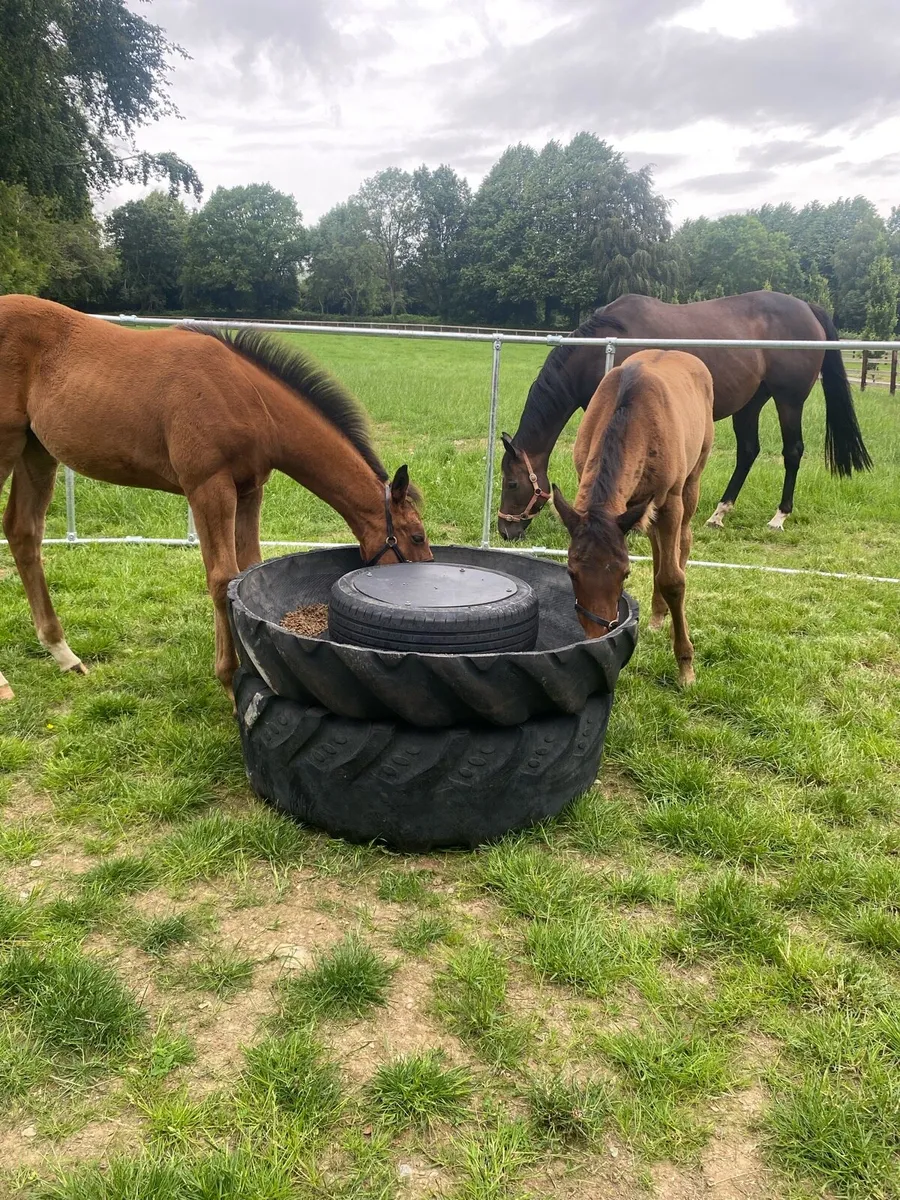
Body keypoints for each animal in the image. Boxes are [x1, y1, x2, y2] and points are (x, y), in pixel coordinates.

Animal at [0, 296, 431, 702]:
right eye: (417, 536)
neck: (248, 398)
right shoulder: (209, 487)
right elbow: (222, 576)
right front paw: (228, 678)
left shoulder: (249, 490)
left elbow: (249, 568)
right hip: (8, 447)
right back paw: (7, 683)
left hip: (36, 452)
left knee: (23, 534)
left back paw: (64, 654)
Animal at [498, 291, 871, 541]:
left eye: (512, 482)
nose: (504, 530)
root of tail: (808, 307)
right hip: (751, 403)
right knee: (748, 451)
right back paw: (719, 513)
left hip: (789, 401)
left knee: (792, 452)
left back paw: (779, 517)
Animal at [552, 350, 714, 688]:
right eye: (572, 572)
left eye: (625, 574)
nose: (597, 635)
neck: (633, 415)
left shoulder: (670, 501)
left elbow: (673, 579)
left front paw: (686, 667)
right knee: (656, 546)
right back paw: (657, 614)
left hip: (693, 479)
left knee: (683, 542)